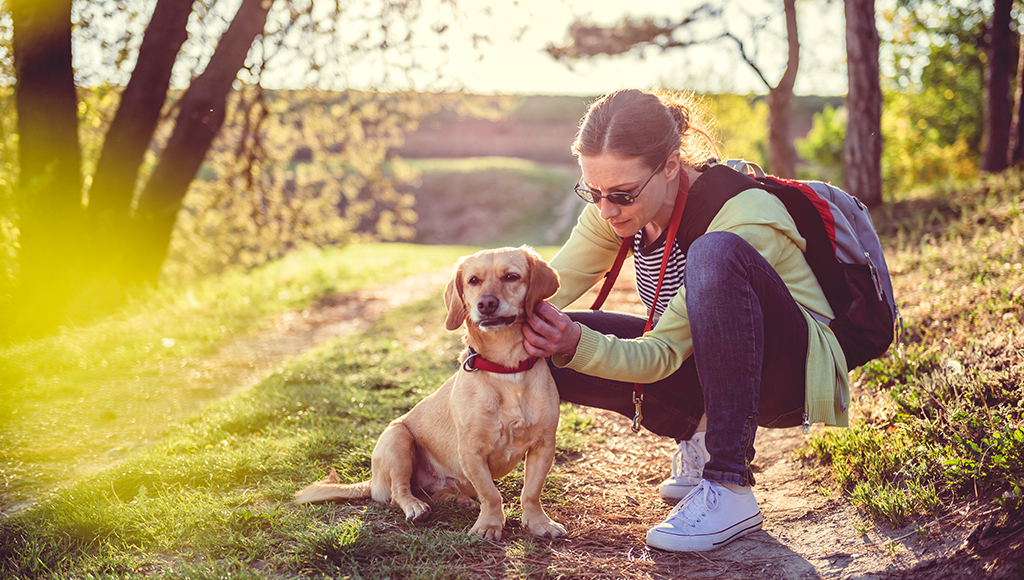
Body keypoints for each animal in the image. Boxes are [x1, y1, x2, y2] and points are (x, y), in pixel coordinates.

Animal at [294, 245, 569, 541]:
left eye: (511, 276)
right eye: (473, 281)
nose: (486, 304)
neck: (506, 370)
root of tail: (373, 481)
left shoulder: (543, 445)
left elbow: (531, 492)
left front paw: (539, 522)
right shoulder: (471, 452)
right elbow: (491, 494)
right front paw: (489, 525)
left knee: (440, 494)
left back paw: (459, 500)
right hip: (398, 439)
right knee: (399, 493)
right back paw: (416, 506)